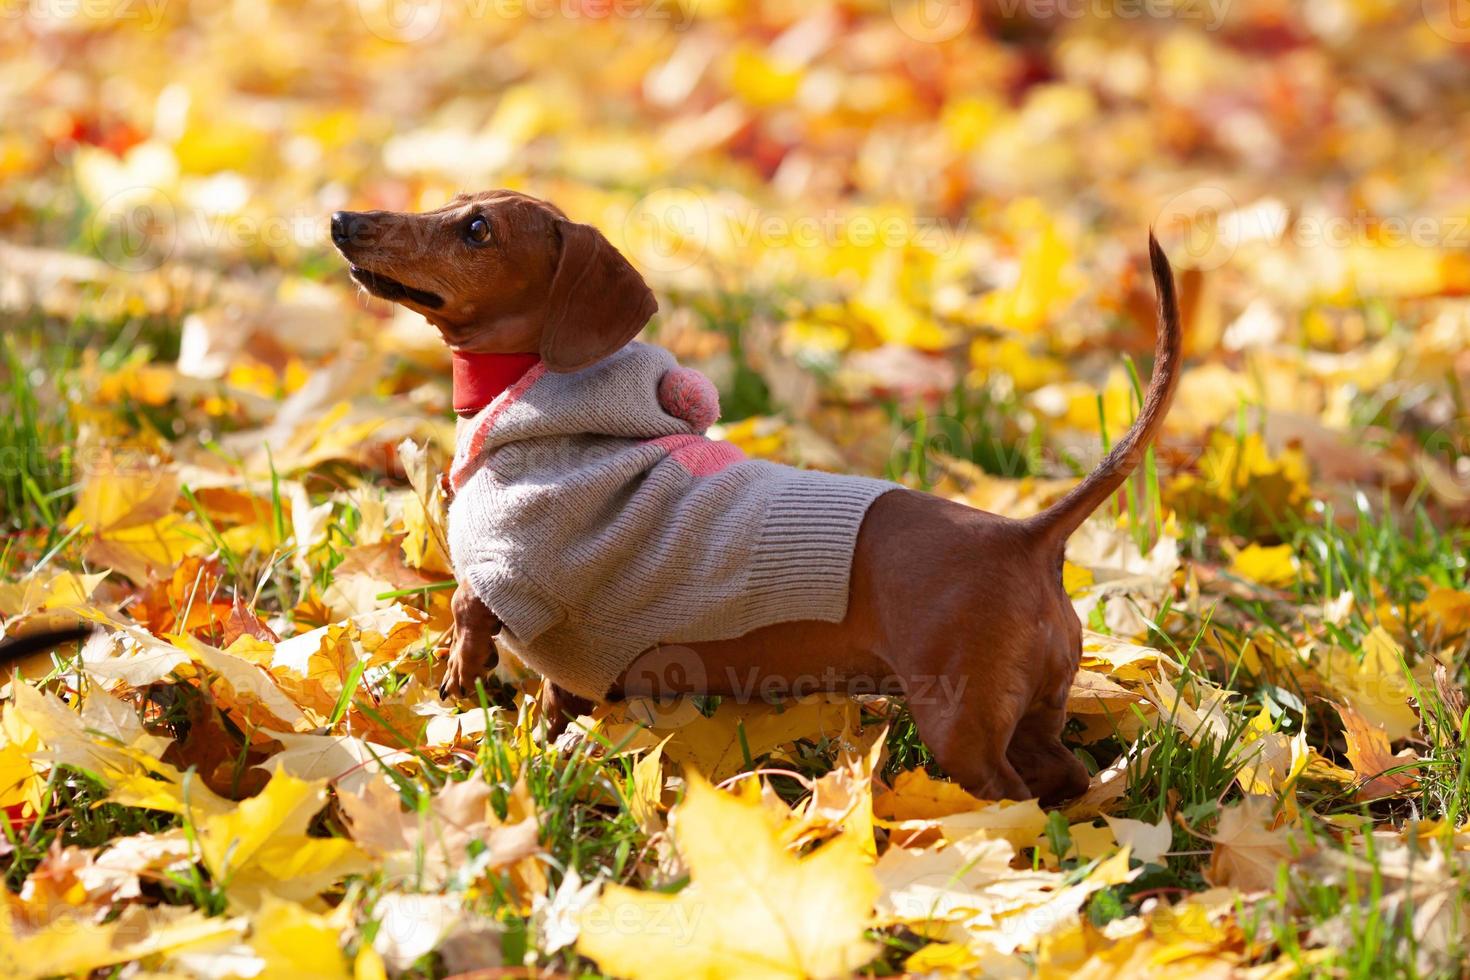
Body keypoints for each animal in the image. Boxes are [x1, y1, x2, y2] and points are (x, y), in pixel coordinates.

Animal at [333, 191, 1181, 805]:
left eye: (476, 229)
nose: (344, 220)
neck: (528, 401)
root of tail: (1027, 536)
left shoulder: (529, 569)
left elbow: (468, 600)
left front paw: (460, 668)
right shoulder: (573, 659)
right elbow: (553, 700)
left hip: (962, 725)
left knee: (1011, 798)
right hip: (1032, 715)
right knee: (1067, 780)